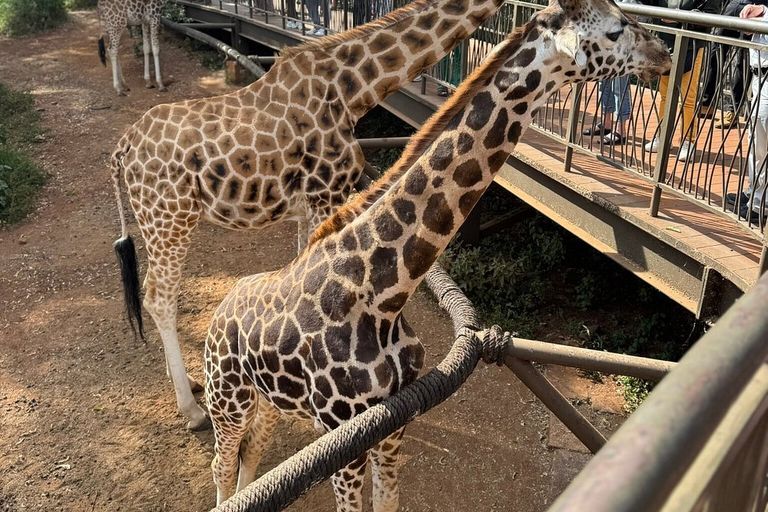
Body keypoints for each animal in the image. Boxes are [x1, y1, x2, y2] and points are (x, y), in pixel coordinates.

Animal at [110, 0, 507, 430]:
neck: (353, 87)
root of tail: (123, 148)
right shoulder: (326, 192)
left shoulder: (310, 205)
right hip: (170, 217)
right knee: (159, 296)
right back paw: (191, 408)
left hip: (158, 220)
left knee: (153, 293)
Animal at [203, 0, 671, 508]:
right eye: (615, 29)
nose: (664, 54)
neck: (383, 294)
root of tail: (220, 312)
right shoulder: (342, 434)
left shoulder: (393, 422)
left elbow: (388, 501)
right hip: (226, 396)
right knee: (222, 464)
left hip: (269, 400)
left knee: (251, 453)